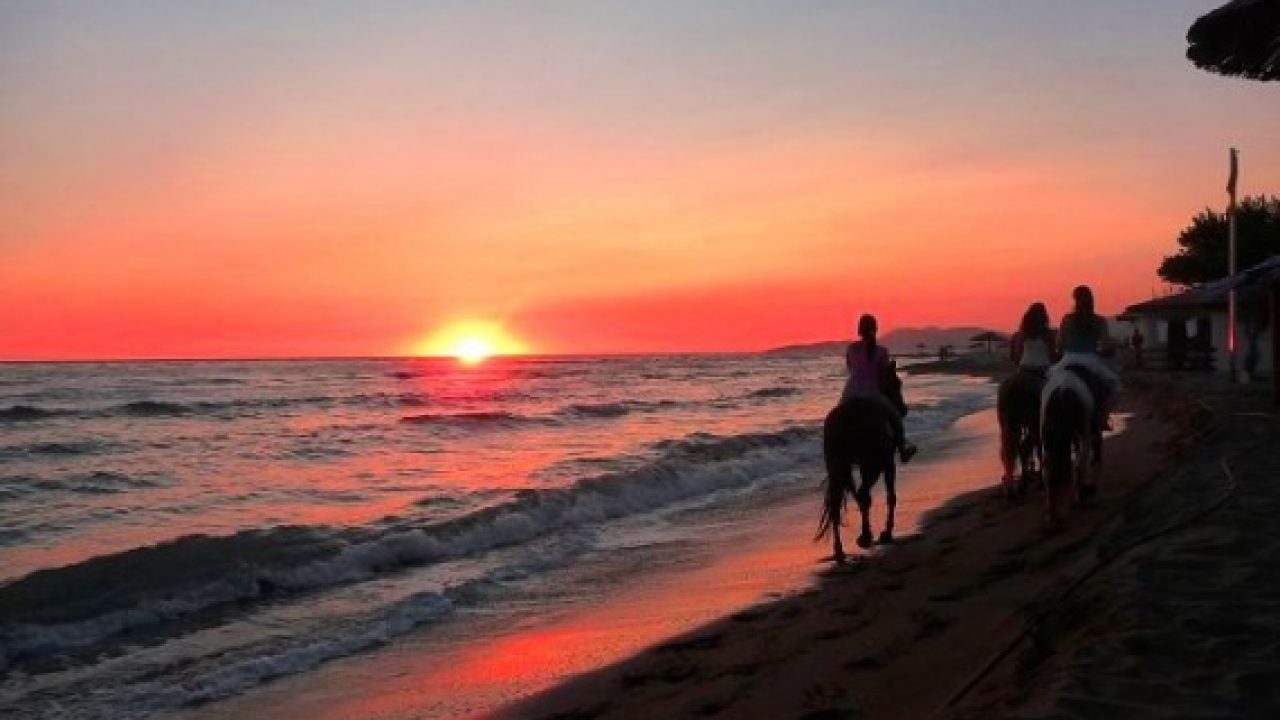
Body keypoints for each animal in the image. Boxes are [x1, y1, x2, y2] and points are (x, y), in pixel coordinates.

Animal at [814, 363, 906, 561]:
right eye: (897, 383)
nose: (904, 409)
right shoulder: (887, 462)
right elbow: (891, 496)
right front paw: (887, 532)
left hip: (838, 467)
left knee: (838, 503)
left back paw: (840, 549)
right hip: (874, 464)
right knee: (863, 494)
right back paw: (865, 537)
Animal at [1039, 366, 1100, 525]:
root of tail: (1062, 391)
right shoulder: (1085, 432)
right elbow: (1081, 462)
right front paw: (1085, 492)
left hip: (1048, 437)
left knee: (1048, 468)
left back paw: (1052, 511)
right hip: (1084, 431)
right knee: (1080, 463)